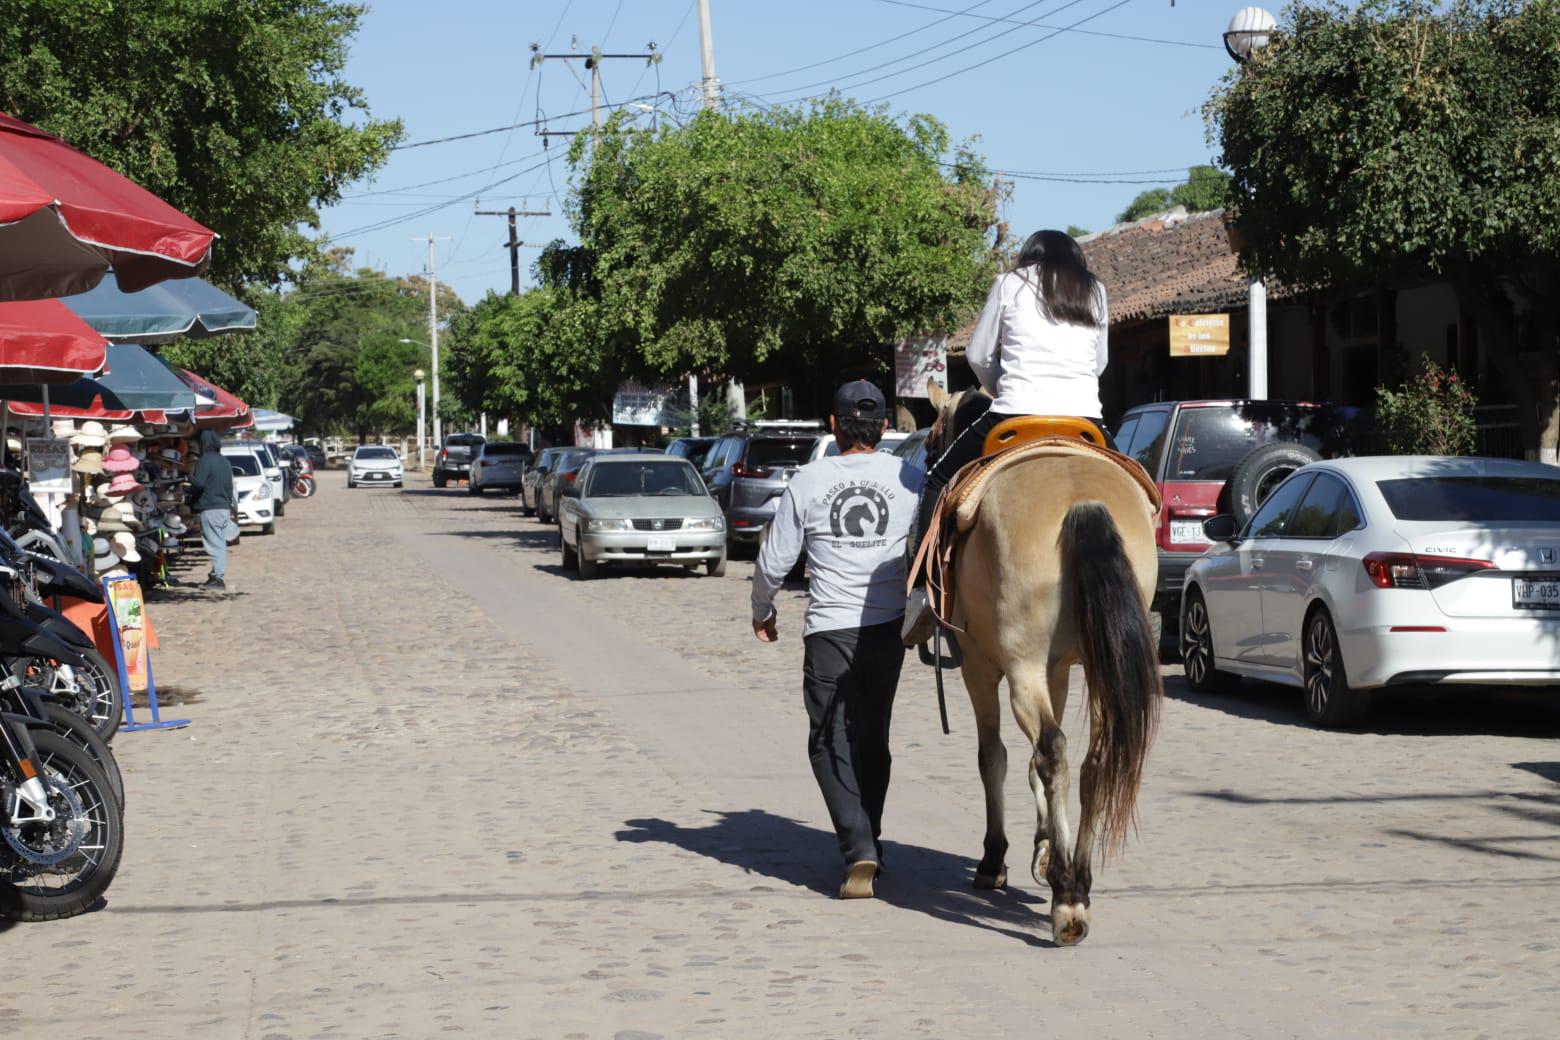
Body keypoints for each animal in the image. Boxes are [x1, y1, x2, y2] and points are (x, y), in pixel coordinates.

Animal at [923, 385, 1160, 954]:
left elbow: (995, 758)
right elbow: (1037, 764)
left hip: (1018, 666)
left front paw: (996, 859)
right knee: (1092, 760)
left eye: (932, 439)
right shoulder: (1058, 668)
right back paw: (1078, 883)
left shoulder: (980, 665)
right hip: (1090, 668)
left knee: (1050, 750)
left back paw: (1066, 901)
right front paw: (1049, 845)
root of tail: (1081, 502)